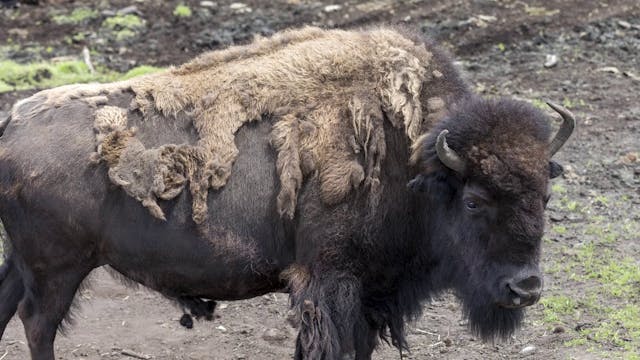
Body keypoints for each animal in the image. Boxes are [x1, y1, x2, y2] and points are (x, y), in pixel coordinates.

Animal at [0, 26, 572, 358]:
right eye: (474, 200)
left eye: (545, 196)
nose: (526, 288)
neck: (411, 158)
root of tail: (12, 124)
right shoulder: (330, 282)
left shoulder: (369, 294)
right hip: (58, 269)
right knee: (38, 323)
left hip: (26, 263)